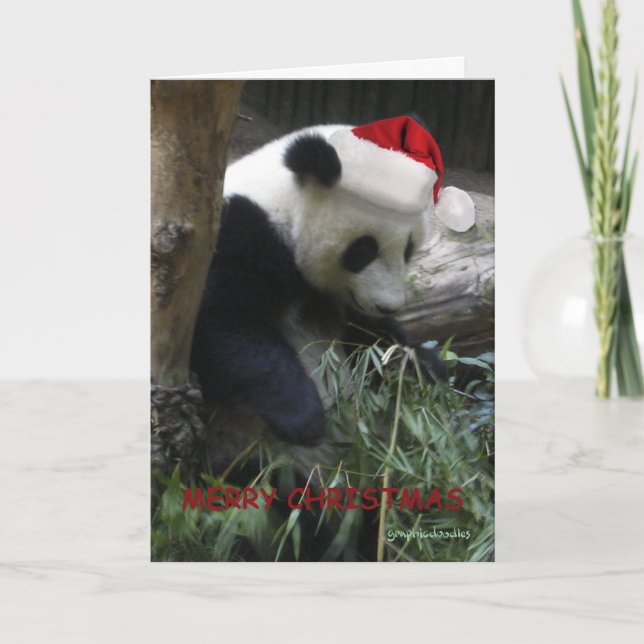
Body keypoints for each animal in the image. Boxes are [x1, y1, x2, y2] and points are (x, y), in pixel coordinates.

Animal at [190, 115, 475, 454]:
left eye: (408, 248)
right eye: (364, 250)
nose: (388, 306)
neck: (282, 207)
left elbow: (372, 340)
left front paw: (424, 369)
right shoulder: (236, 235)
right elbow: (221, 326)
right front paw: (302, 415)